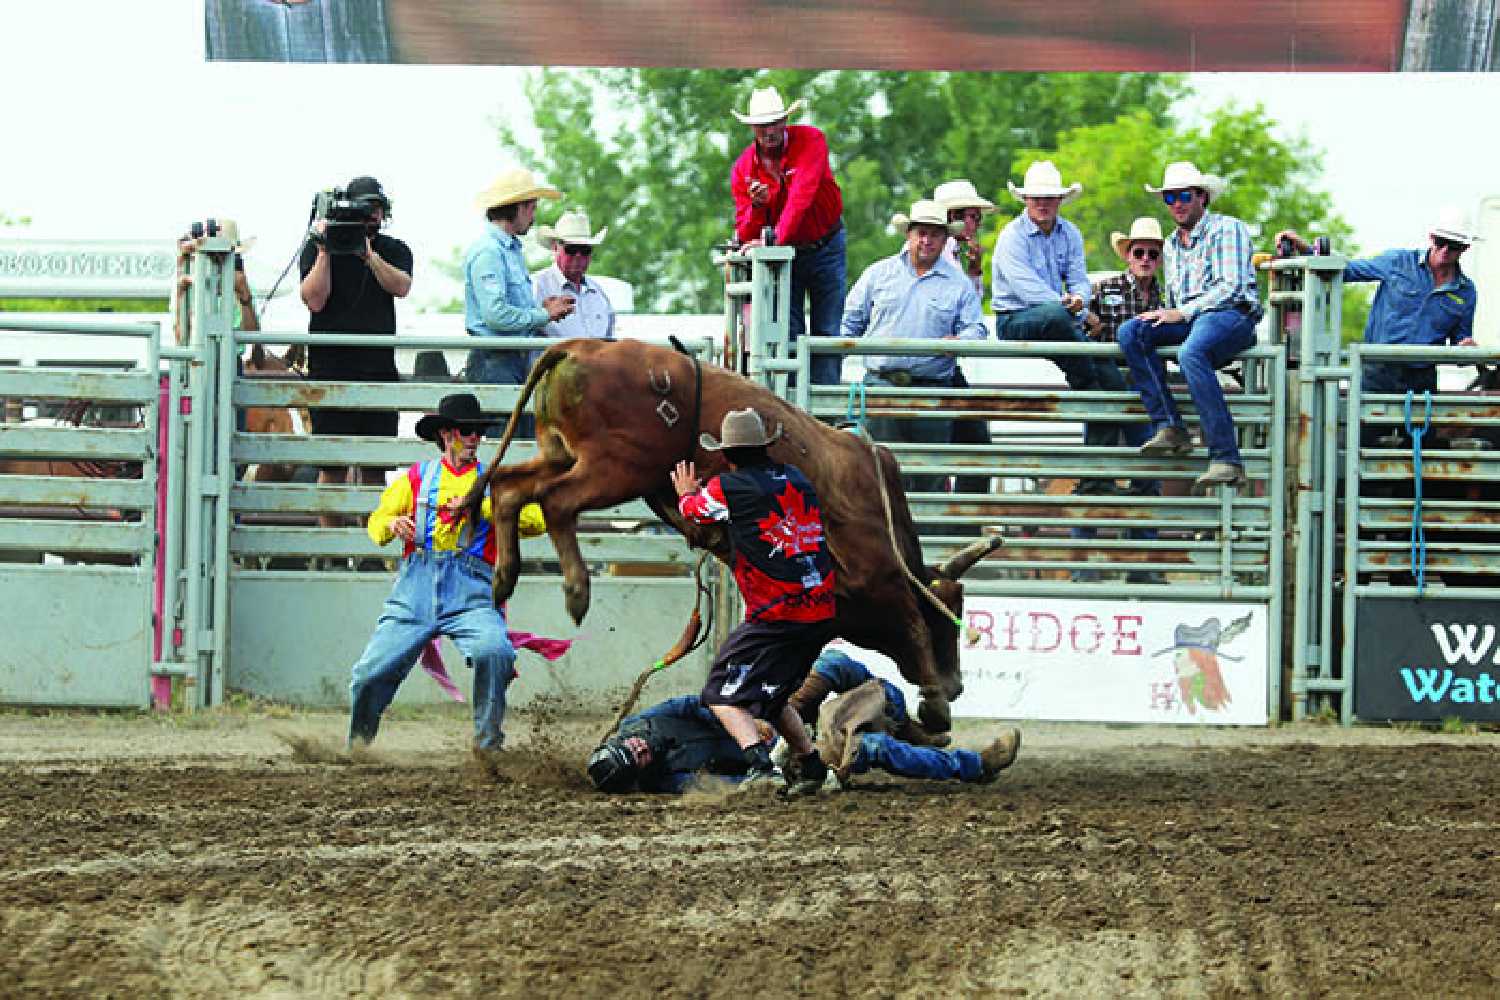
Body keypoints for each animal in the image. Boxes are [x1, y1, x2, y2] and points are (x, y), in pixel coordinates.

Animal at [471, 338, 996, 734]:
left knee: (509, 489)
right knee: (556, 502)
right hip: (614, 470)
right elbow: (912, 628)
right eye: (951, 615)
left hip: (561, 455)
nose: (957, 685)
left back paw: (504, 576)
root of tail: (584, 346)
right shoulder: (881, 579)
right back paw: (576, 589)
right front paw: (935, 705)